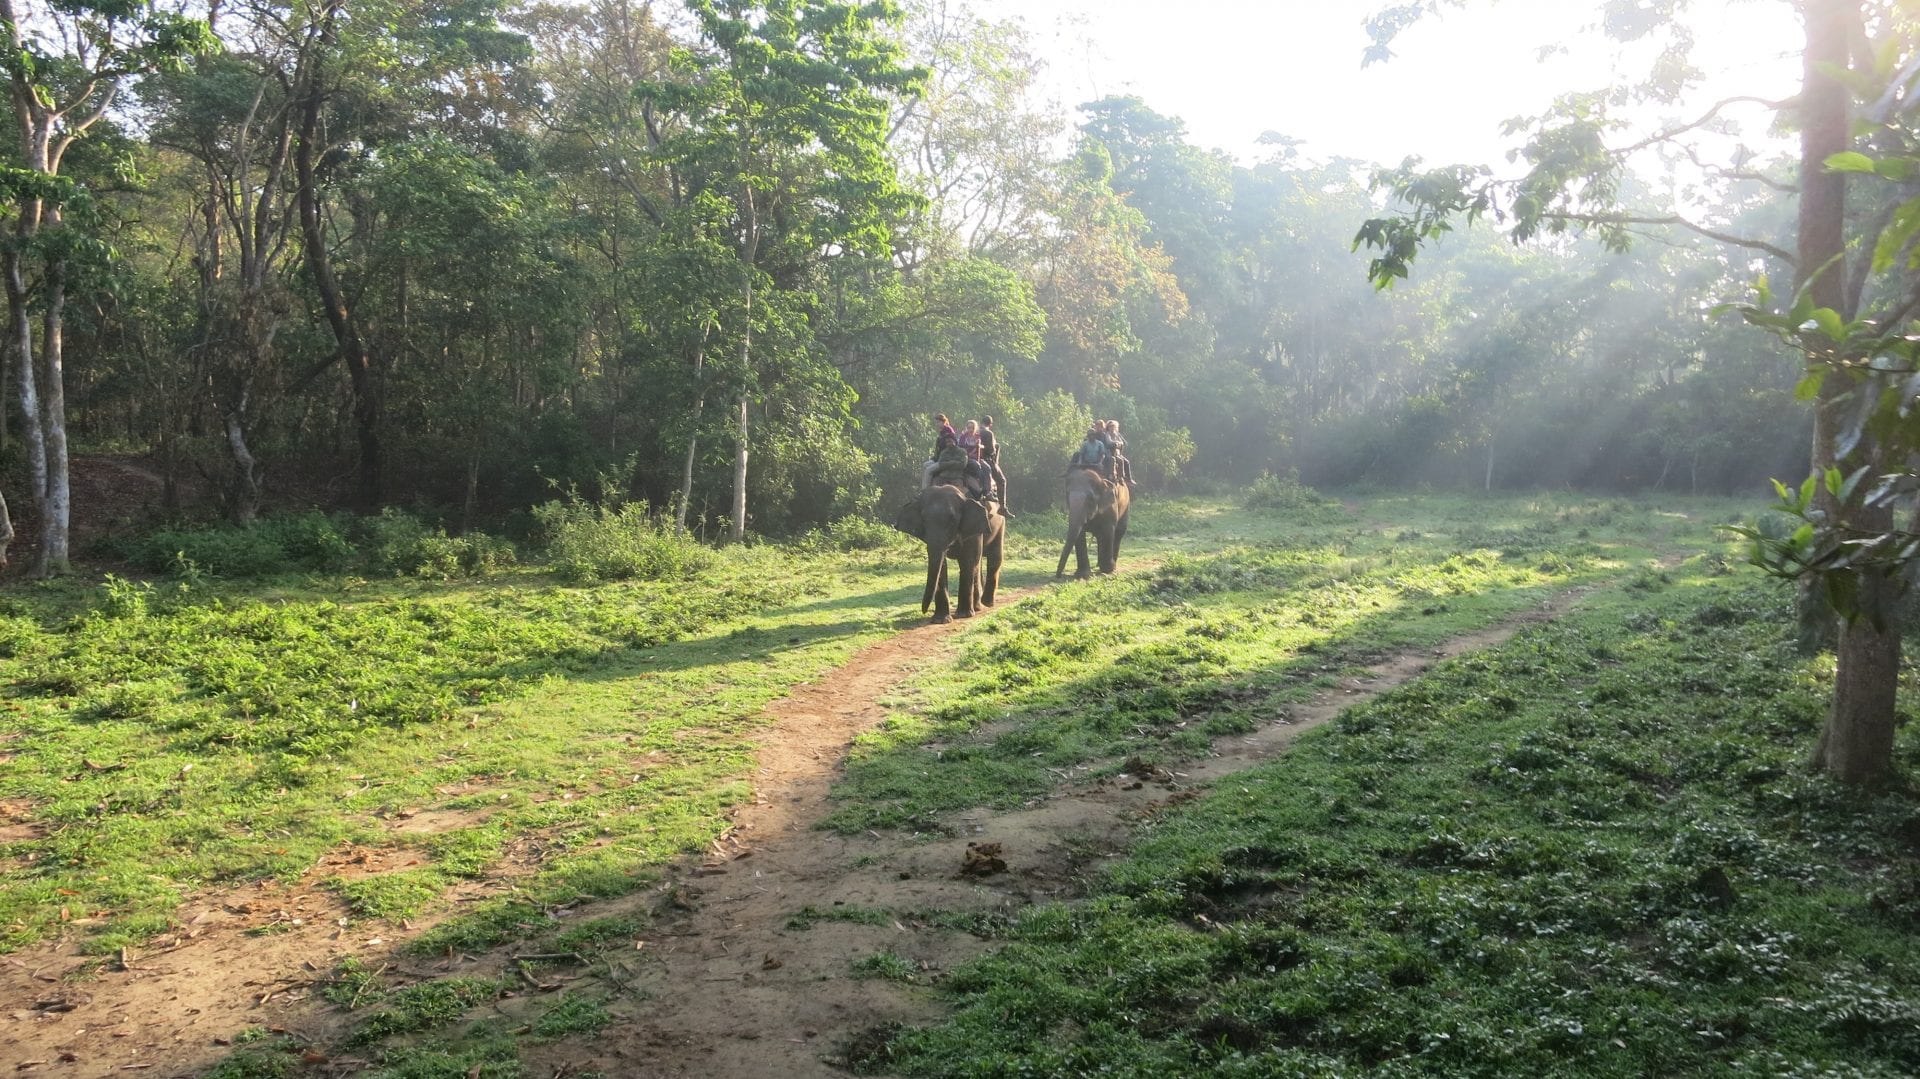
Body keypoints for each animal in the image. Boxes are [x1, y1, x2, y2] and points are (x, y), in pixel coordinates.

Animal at [890, 479, 1006, 622]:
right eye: (924, 520)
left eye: (952, 520)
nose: (923, 611)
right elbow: (941, 564)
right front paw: (940, 620)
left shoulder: (973, 529)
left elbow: (967, 561)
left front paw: (963, 615)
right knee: (978, 564)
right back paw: (978, 606)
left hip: (1000, 522)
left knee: (994, 558)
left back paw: (985, 604)